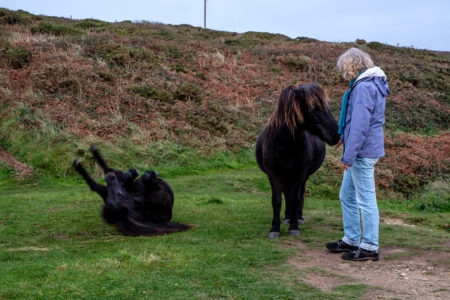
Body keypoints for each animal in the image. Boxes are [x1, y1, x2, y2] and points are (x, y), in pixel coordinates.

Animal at [255, 83, 340, 238]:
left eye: (328, 106)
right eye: (314, 108)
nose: (337, 135)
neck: (284, 143)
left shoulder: (299, 173)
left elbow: (295, 198)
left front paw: (294, 227)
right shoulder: (274, 174)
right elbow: (277, 200)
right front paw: (275, 228)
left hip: (302, 177)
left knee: (299, 194)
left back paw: (297, 217)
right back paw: (287, 217)